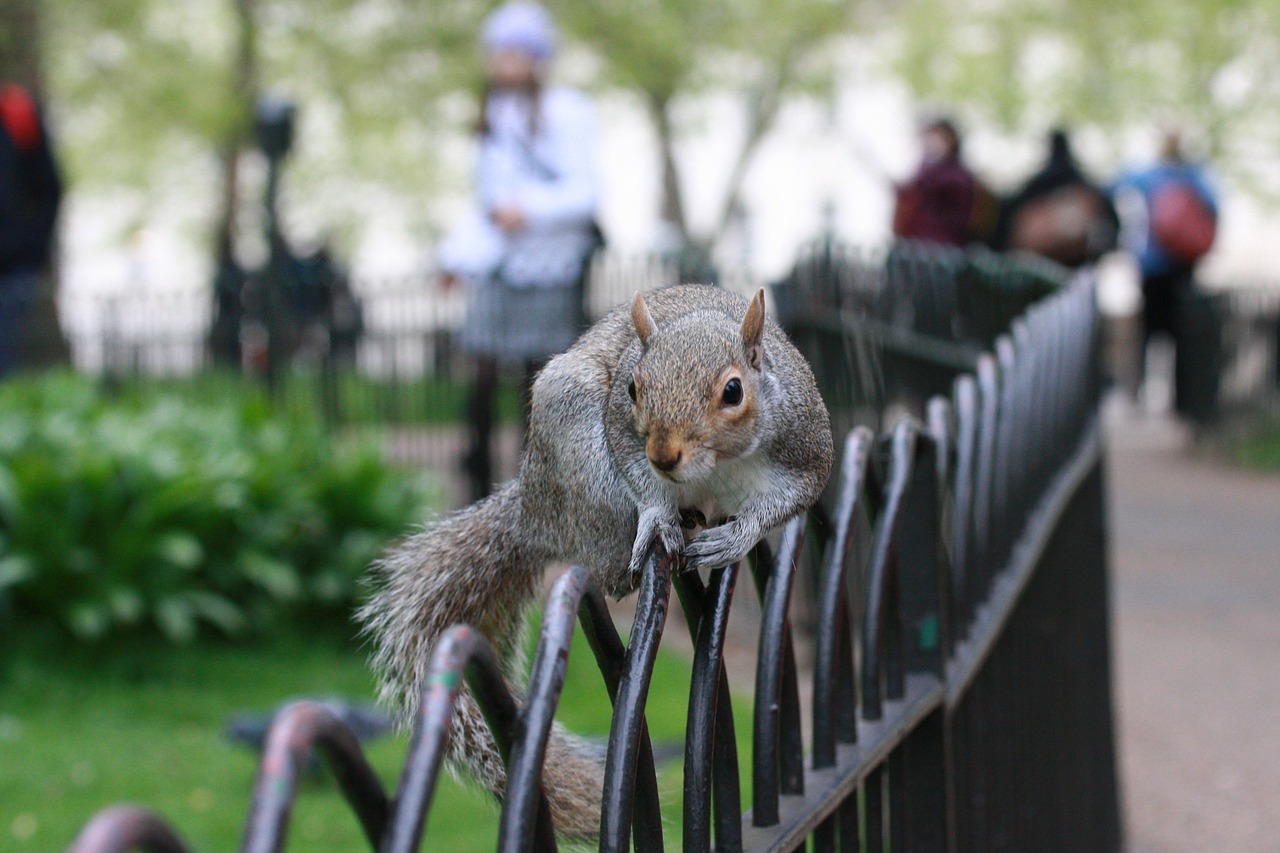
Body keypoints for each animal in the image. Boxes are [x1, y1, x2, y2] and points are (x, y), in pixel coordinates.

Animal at [355, 281, 834, 835]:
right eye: (632, 389)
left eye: (733, 392)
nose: (664, 455)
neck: (721, 463)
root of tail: (535, 508)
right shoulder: (623, 433)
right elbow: (640, 474)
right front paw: (658, 516)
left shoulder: (805, 449)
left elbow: (786, 502)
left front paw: (738, 537)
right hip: (582, 450)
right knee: (609, 570)